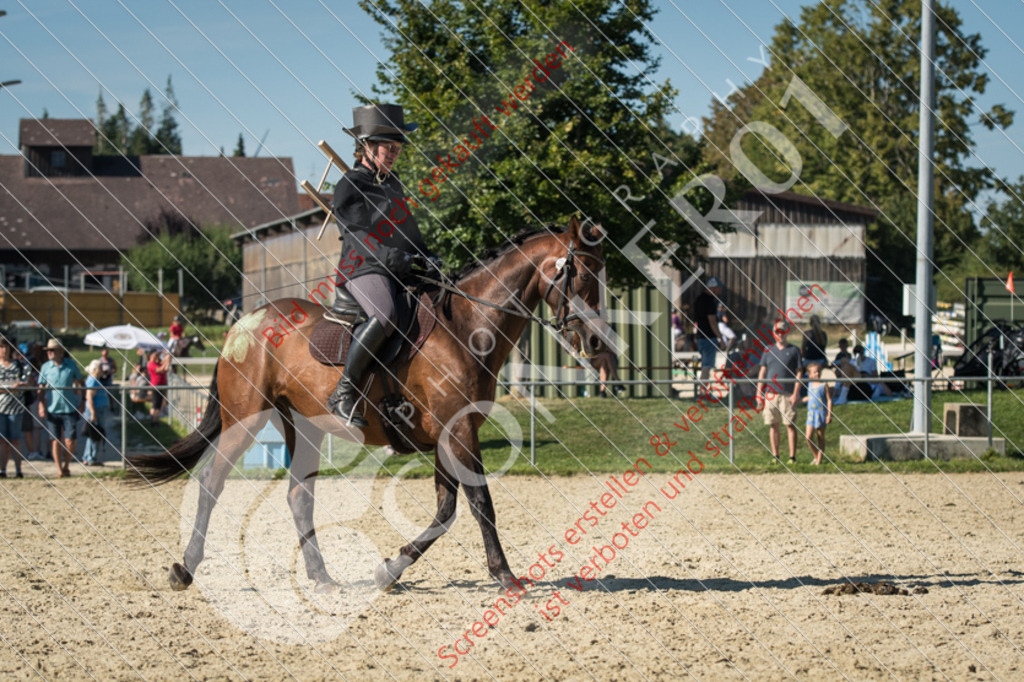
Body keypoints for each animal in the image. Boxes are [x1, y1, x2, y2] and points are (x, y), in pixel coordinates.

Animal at [128, 216, 606, 589]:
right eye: (584, 276)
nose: (597, 342)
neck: (465, 327)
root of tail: (243, 323)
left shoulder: (449, 434)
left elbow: (446, 509)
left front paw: (390, 570)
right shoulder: (458, 430)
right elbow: (479, 502)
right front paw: (504, 573)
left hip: (303, 426)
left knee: (299, 496)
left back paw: (322, 577)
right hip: (244, 420)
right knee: (212, 482)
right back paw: (186, 568)